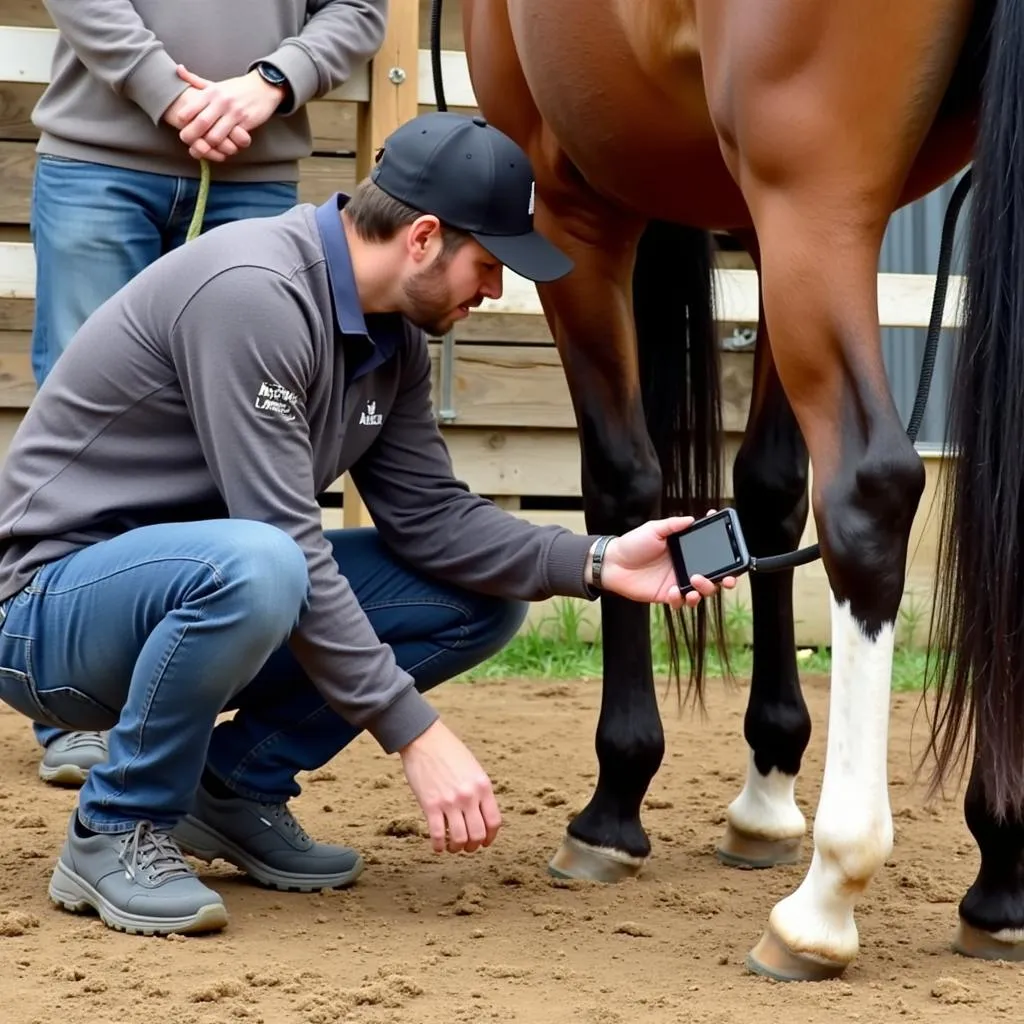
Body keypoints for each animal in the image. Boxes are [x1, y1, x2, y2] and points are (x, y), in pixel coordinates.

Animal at [458, 0, 1024, 983]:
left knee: (867, 489)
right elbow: (767, 487)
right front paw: (766, 790)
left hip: (814, 202)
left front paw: (614, 804)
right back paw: (1002, 875)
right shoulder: (755, 227)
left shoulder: (574, 205)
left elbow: (623, 480)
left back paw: (826, 899)